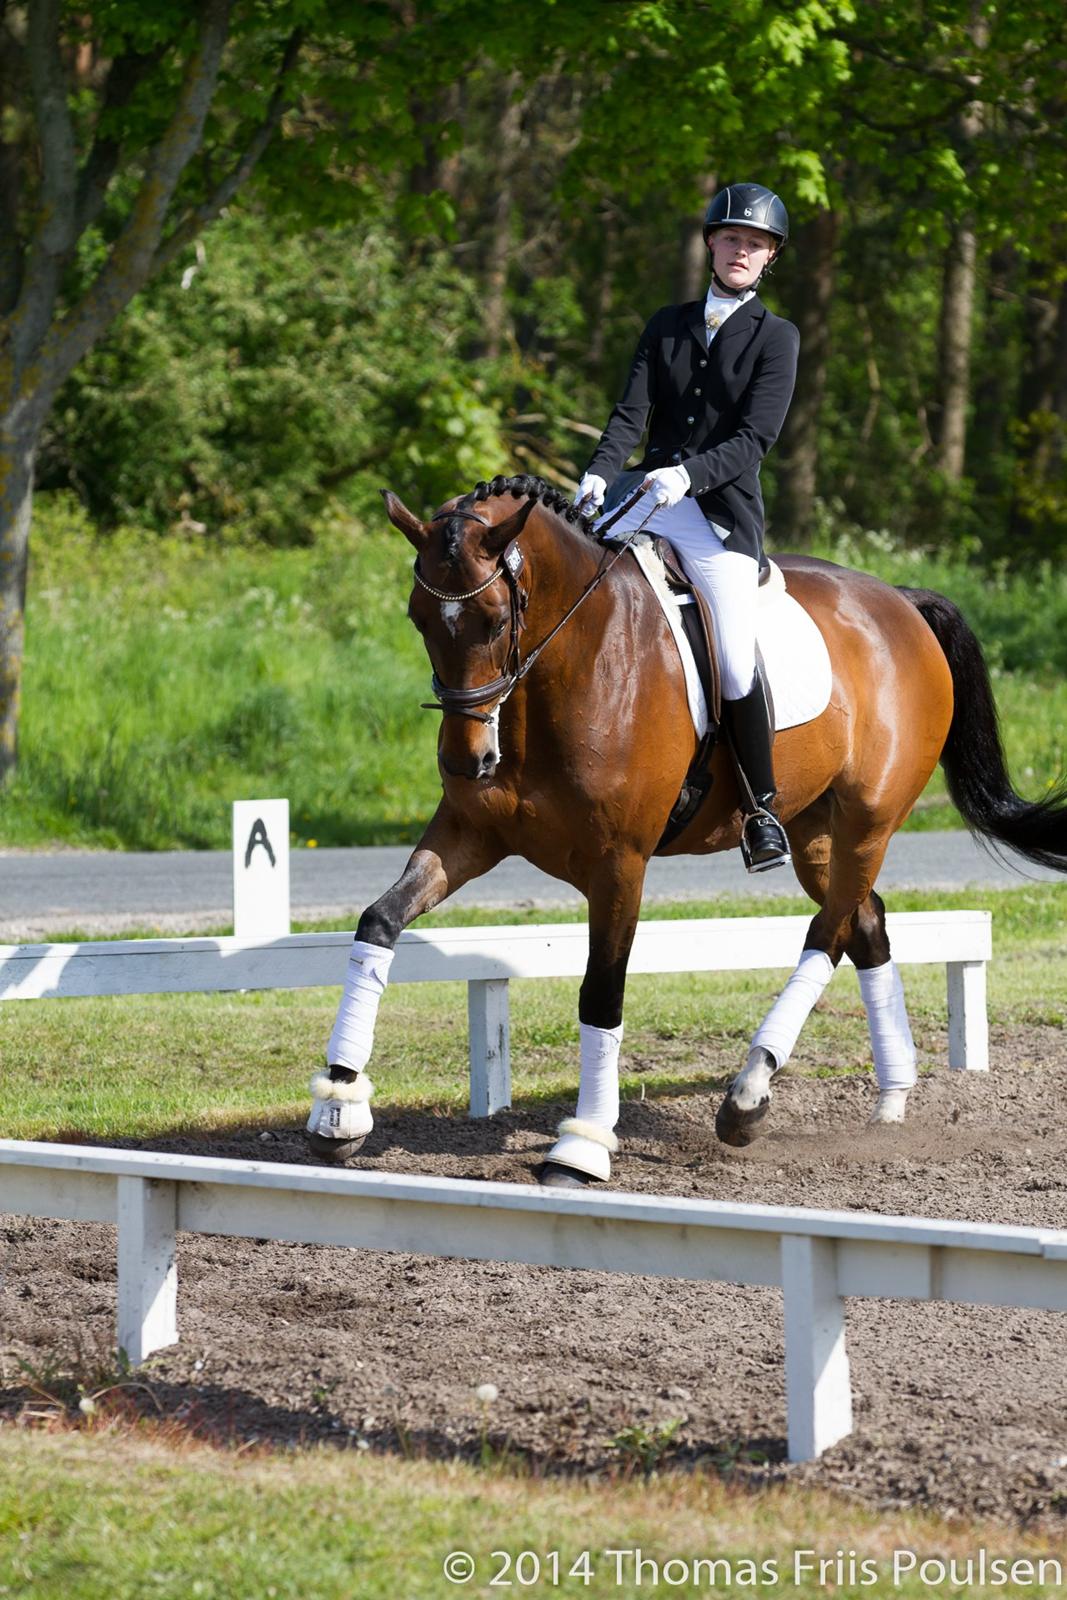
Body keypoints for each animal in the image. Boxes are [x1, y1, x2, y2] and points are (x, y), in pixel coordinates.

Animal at [307, 467, 1067, 1184]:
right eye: (418, 619)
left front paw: (582, 1147)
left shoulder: (619, 863)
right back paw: (890, 1101)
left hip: (868, 821)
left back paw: (748, 1095)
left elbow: (601, 992)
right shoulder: (471, 834)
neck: (570, 663)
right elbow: (378, 922)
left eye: (494, 619)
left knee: (828, 933)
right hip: (818, 834)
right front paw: (339, 1104)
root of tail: (899, 602)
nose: (467, 762)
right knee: (864, 921)